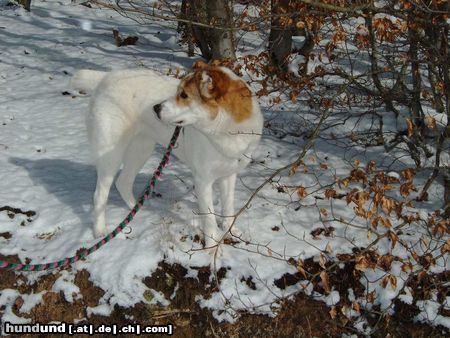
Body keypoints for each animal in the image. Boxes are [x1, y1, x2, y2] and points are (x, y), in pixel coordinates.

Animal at [71, 61, 264, 246]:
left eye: (184, 95)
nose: (155, 108)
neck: (227, 130)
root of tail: (105, 78)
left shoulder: (229, 175)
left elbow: (228, 207)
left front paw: (231, 230)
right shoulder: (203, 180)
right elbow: (209, 219)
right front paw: (212, 246)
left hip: (141, 149)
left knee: (123, 183)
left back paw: (138, 210)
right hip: (111, 155)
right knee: (99, 195)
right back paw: (100, 230)